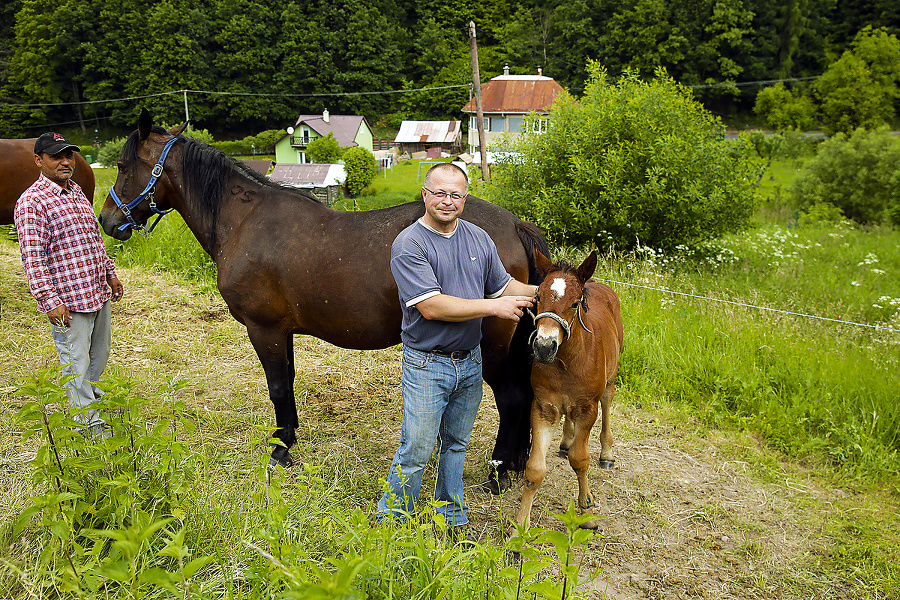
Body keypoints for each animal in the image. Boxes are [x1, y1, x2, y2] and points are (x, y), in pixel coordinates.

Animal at [99, 110, 548, 490]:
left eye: (122, 166)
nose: (107, 219)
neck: (244, 221)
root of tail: (514, 223)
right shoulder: (282, 331)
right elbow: (288, 382)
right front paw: (290, 436)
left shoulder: (264, 329)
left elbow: (278, 386)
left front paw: (280, 452)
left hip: (492, 347)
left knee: (512, 399)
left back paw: (498, 474)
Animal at [510, 248, 624, 528]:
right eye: (537, 297)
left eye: (574, 303)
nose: (543, 346)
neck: (567, 362)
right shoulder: (543, 407)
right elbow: (535, 469)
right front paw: (519, 527)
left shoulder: (587, 409)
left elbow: (580, 460)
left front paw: (587, 512)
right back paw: (565, 441)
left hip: (611, 377)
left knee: (608, 402)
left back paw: (607, 454)